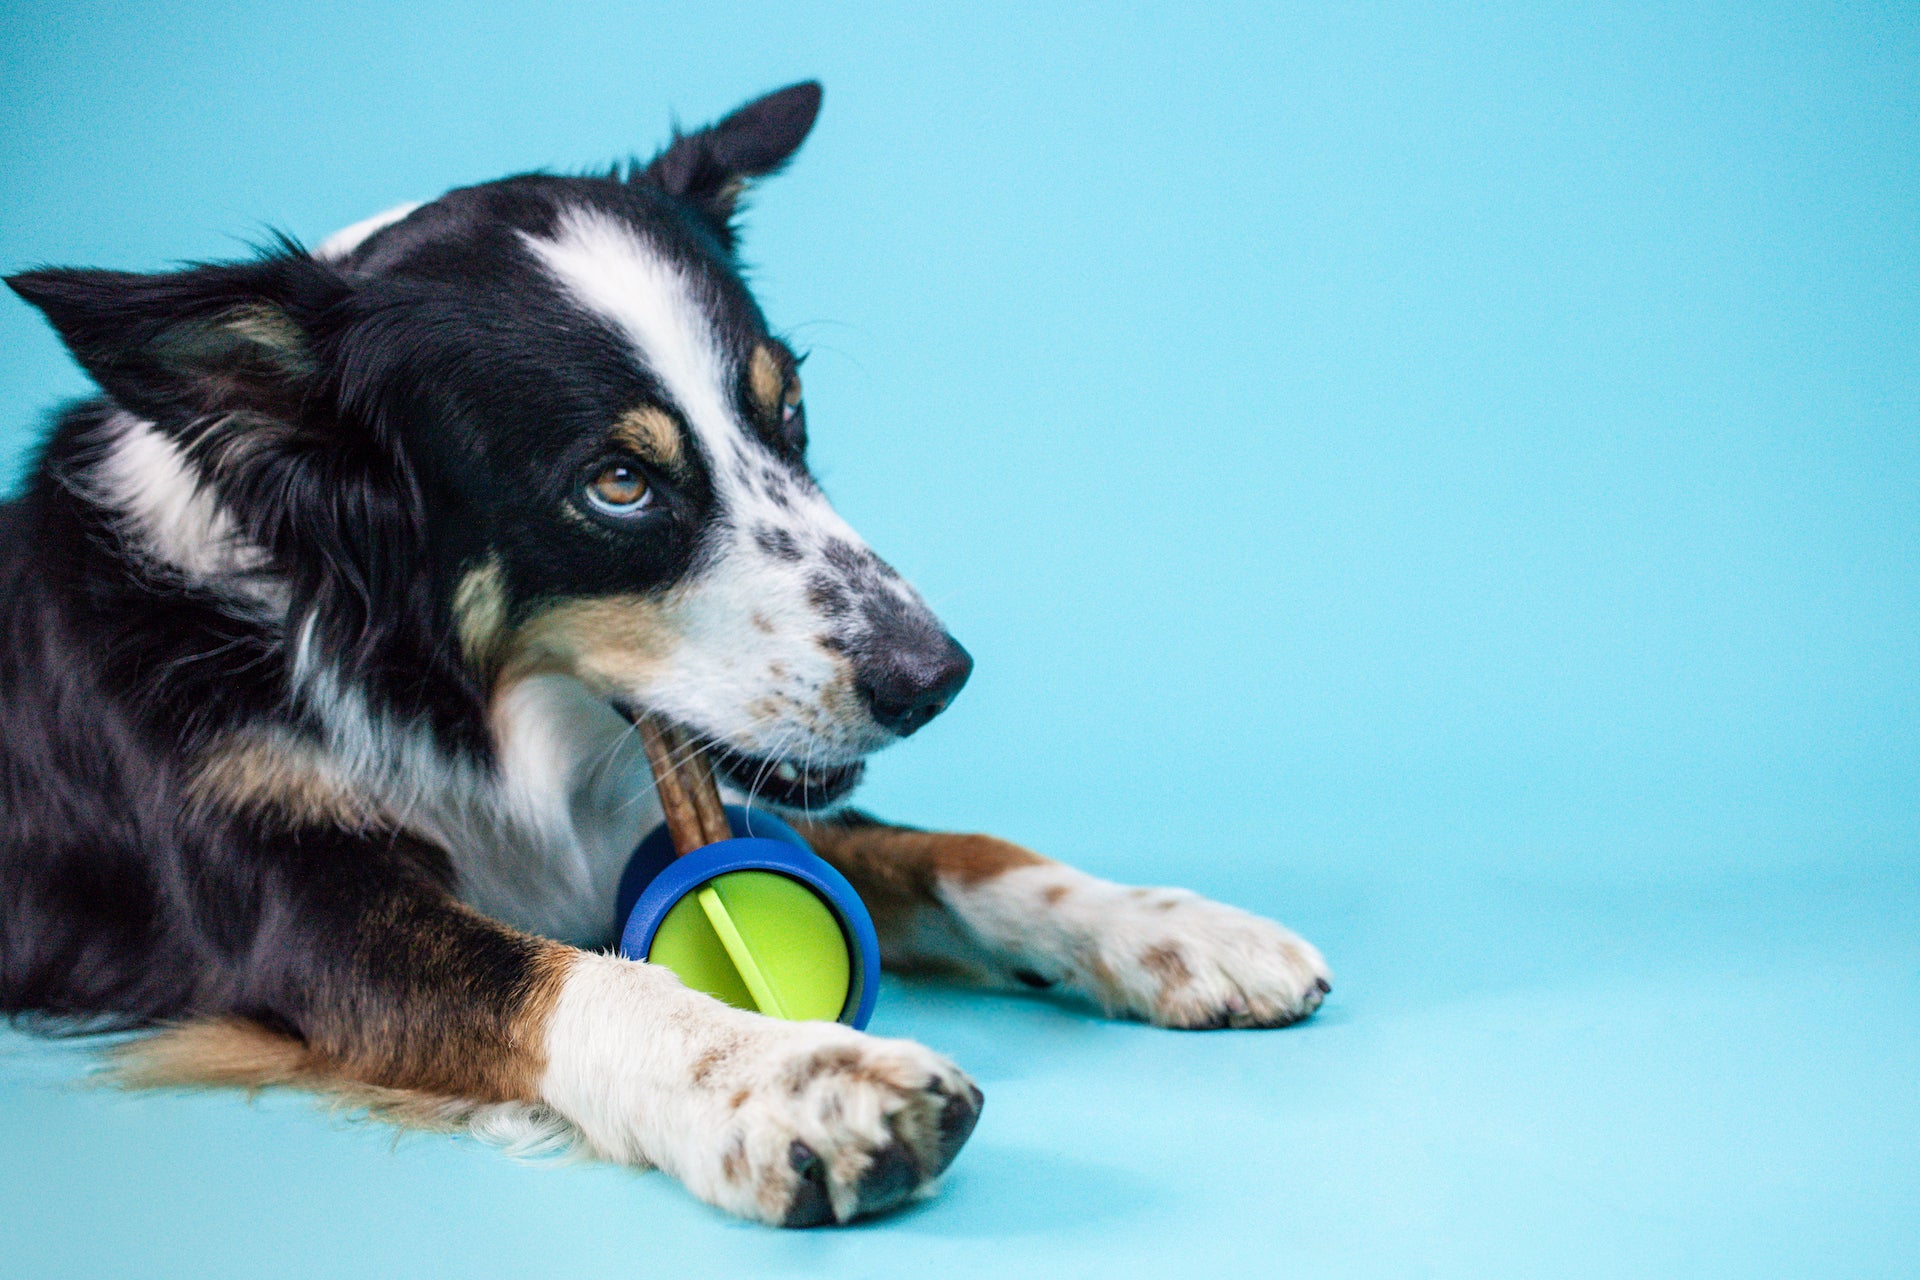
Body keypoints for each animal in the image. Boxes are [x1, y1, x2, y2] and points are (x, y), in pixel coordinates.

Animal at [0, 84, 1328, 1228]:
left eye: (789, 413)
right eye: (619, 482)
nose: (936, 676)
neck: (466, 701)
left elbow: (945, 849)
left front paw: (1171, 925)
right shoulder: (297, 914)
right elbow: (554, 976)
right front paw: (788, 1077)